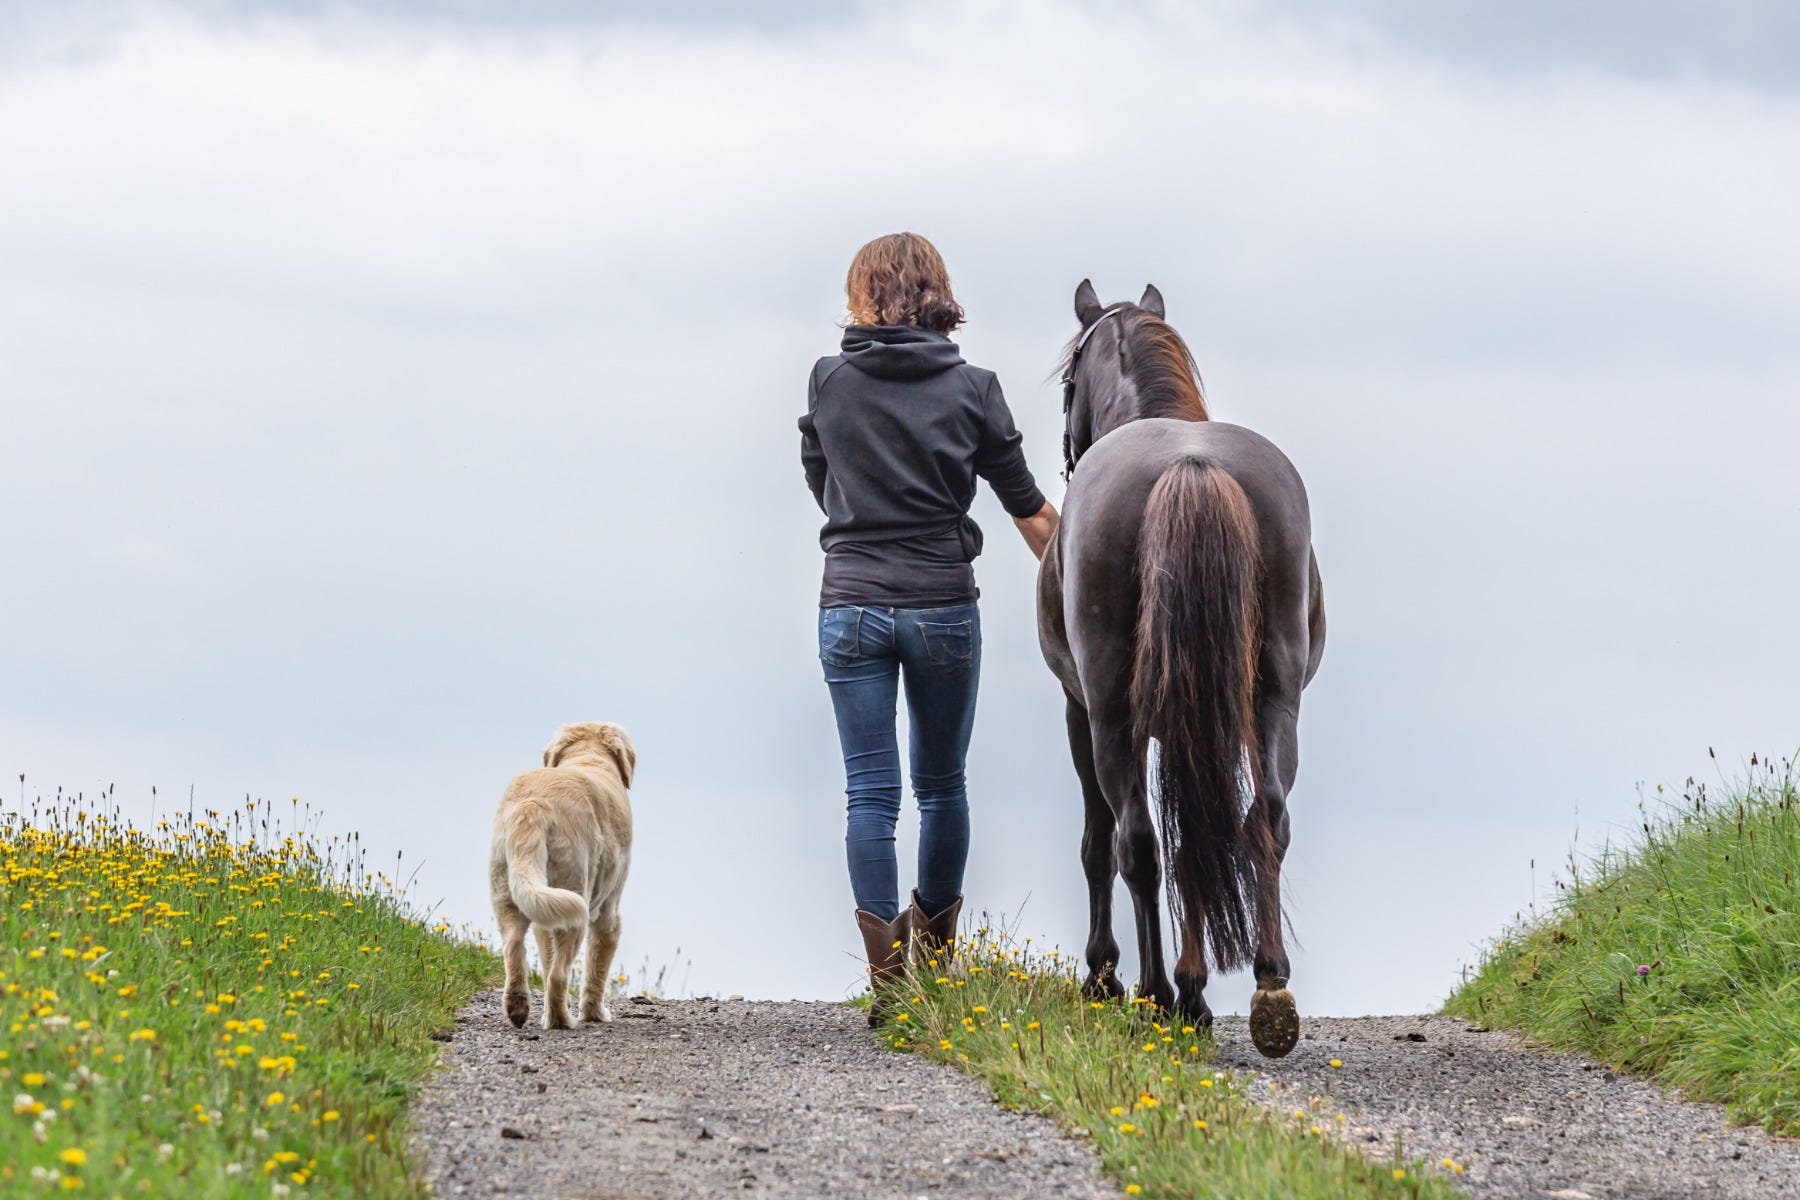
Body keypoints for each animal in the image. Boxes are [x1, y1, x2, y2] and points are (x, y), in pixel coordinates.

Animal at [489, 723, 637, 1036]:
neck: (588, 757)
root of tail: (534, 804)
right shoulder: (609, 912)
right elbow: (596, 968)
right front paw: (595, 1014)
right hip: (575, 898)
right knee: (559, 975)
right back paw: (562, 1020)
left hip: (511, 890)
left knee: (514, 946)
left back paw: (518, 1007)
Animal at [1036, 282, 1332, 1057]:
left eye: (1067, 381)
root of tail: (1192, 467)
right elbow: (1199, 827)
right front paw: (1196, 987)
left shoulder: (1079, 712)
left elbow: (1102, 843)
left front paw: (1109, 976)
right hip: (1272, 699)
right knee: (1263, 817)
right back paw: (1267, 988)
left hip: (1110, 714)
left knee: (1135, 840)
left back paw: (1152, 992)